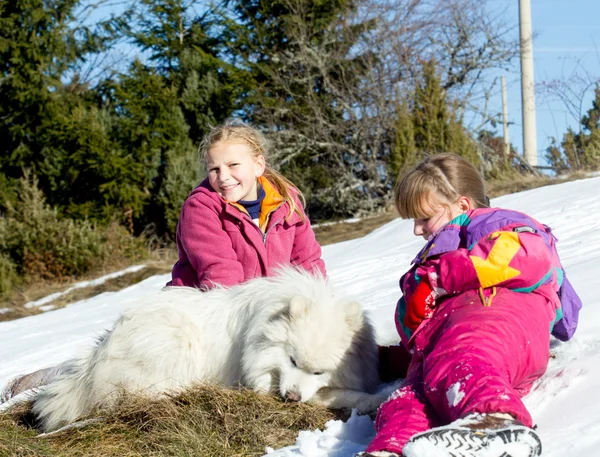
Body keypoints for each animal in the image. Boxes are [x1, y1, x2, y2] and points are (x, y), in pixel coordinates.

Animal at [32, 268, 390, 432]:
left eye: (318, 371)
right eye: (291, 359)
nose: (290, 398)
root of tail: (97, 356)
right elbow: (341, 396)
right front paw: (376, 398)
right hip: (177, 341)